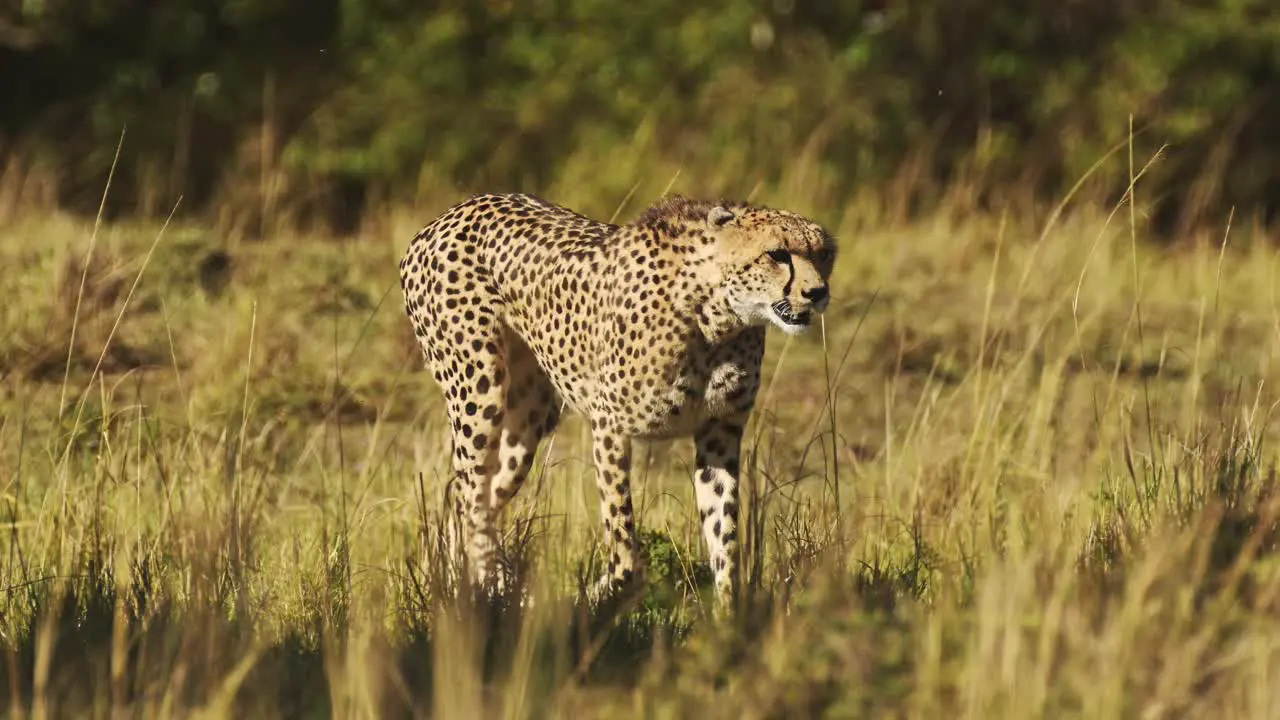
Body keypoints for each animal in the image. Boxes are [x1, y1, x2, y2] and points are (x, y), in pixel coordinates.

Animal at [399, 190, 839, 604]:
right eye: (778, 254)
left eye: (824, 254)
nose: (817, 292)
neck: (717, 316)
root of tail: (445, 218)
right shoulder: (609, 424)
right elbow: (626, 550)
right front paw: (593, 597)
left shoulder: (720, 433)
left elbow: (724, 541)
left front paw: (728, 620)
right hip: (479, 391)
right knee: (471, 504)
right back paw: (499, 591)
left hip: (529, 417)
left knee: (472, 505)